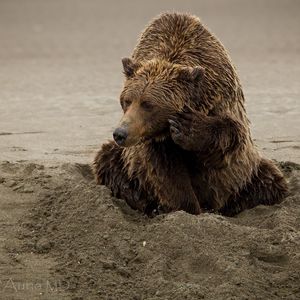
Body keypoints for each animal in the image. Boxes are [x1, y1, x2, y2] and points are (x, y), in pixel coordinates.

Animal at [93, 12, 288, 217]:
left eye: (148, 104)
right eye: (127, 100)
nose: (120, 133)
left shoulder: (221, 96)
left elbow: (231, 136)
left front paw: (189, 127)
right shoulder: (156, 143)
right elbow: (166, 173)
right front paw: (188, 208)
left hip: (247, 174)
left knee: (270, 183)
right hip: (124, 162)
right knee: (107, 160)